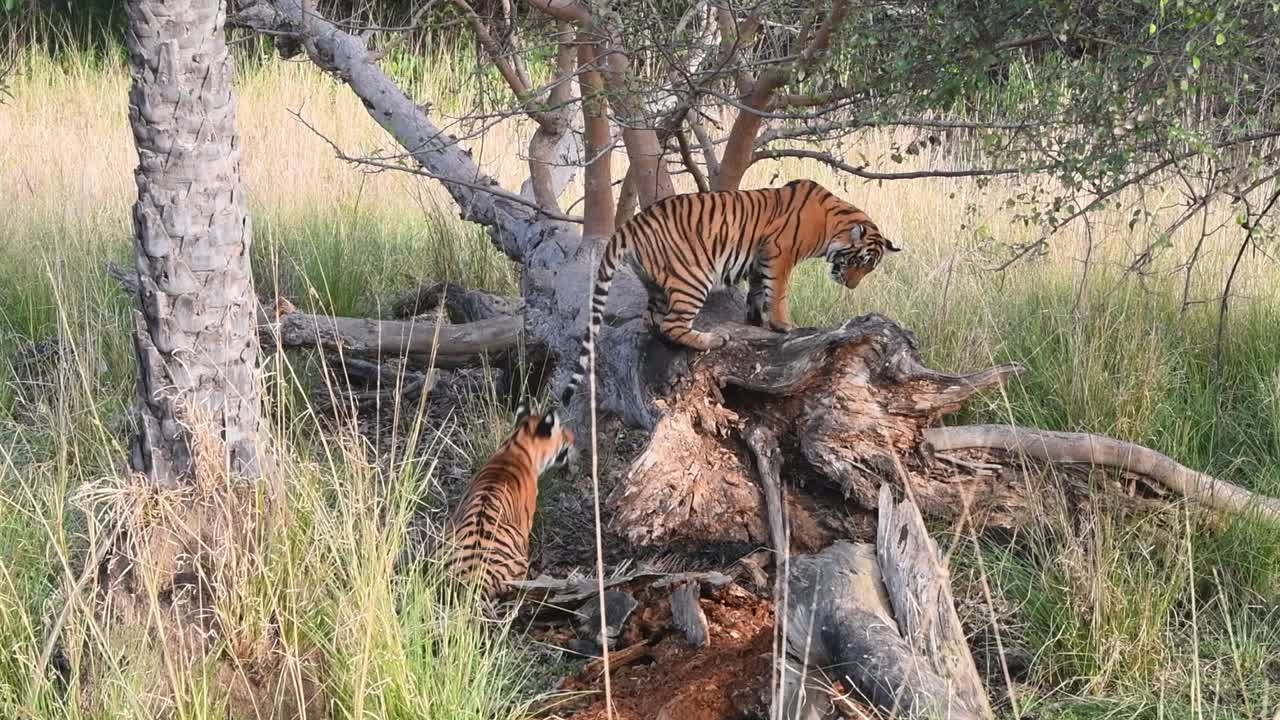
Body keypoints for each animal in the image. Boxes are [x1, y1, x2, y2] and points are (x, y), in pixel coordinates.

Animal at [560, 178, 900, 406]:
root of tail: (632, 224)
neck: (832, 226)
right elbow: (777, 293)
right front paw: (784, 326)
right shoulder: (780, 253)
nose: (851, 285)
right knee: (673, 324)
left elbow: (758, 292)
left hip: (656, 284)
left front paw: (755, 321)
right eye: (859, 262)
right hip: (693, 277)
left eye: (868, 268)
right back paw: (712, 339)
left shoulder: (759, 261)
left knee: (653, 320)